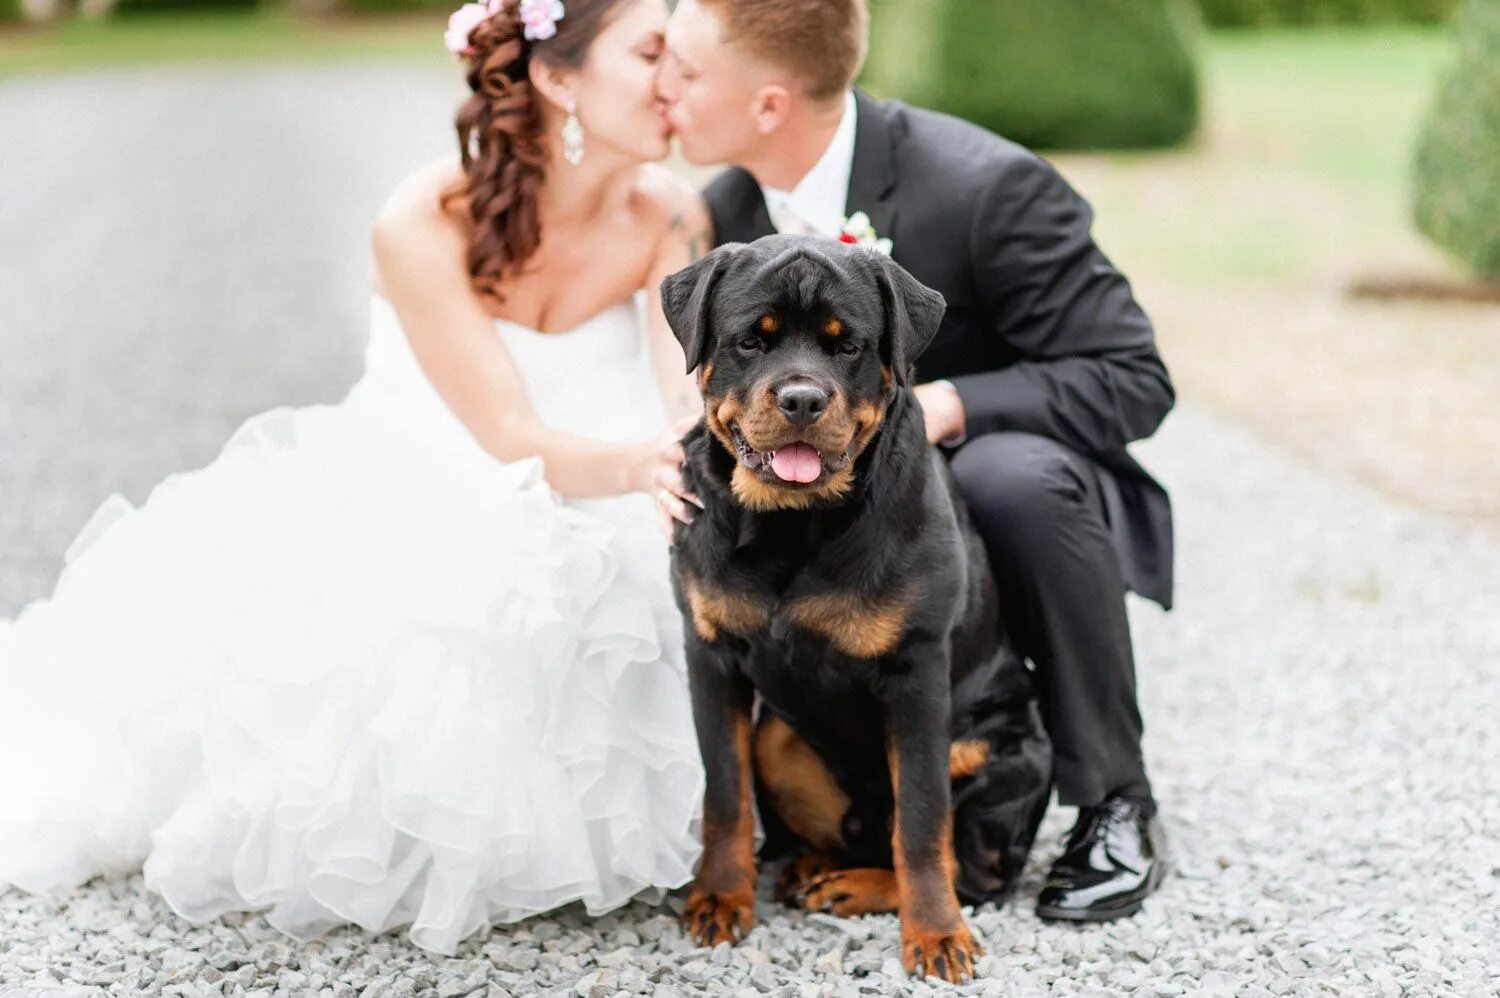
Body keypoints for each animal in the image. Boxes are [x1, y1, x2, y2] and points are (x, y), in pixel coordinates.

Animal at [663, 234, 1050, 978]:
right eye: (750, 341)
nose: (802, 398)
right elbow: (724, 795)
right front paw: (720, 897)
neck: (791, 525)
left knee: (961, 865)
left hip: (991, 750)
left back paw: (853, 887)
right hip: (780, 740)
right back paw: (814, 869)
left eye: (848, 347)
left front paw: (936, 936)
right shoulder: (710, 650)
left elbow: (922, 824)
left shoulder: (917, 672)